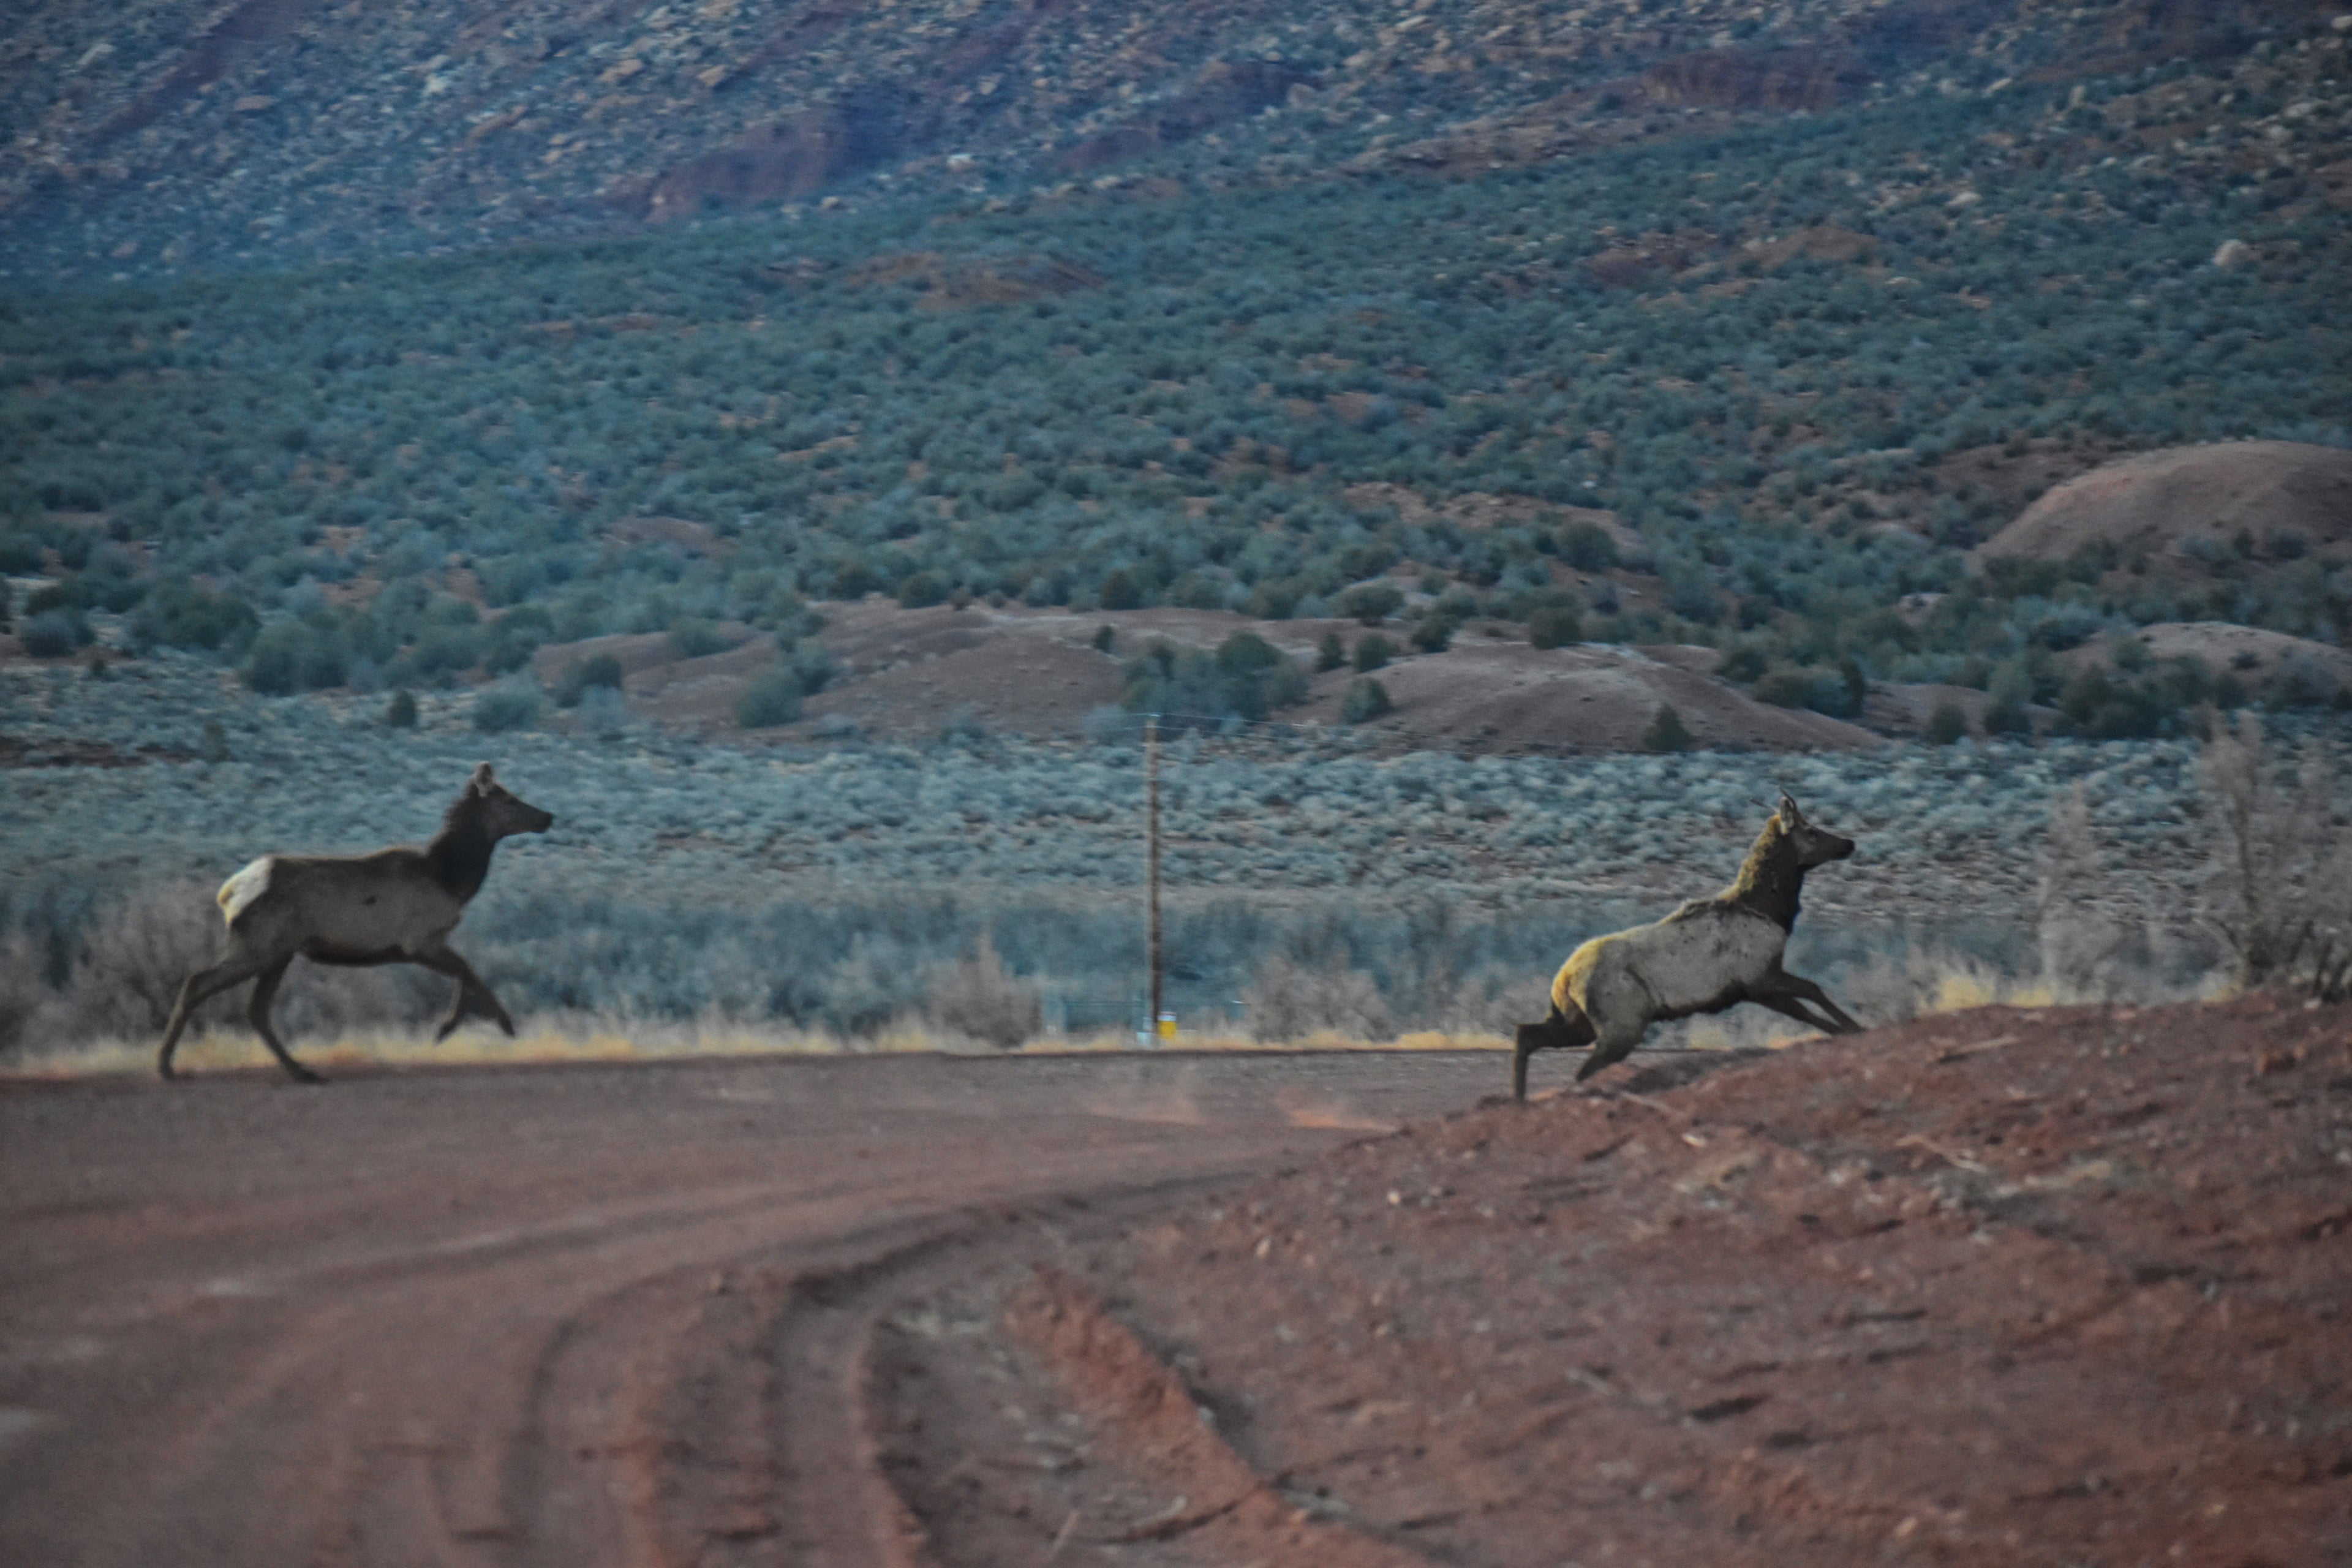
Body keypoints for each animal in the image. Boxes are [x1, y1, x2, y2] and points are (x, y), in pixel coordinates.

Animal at [160, 766, 555, 1086]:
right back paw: (166, 1067)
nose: (548, 816)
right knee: (197, 983)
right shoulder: (418, 941)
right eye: (508, 799)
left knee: (256, 1011)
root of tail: (230, 892)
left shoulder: (423, 945)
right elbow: (466, 970)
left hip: (278, 954)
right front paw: (484, 1025)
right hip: (259, 947)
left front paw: (461, 1026)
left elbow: (465, 971)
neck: (451, 879)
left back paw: (303, 1072)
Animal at [1514, 790, 1863, 1100]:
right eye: (1811, 832)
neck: (1772, 914)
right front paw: (1854, 1028)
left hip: (1576, 1020)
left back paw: (1520, 1099)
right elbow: (1811, 993)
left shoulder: (1756, 987)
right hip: (1622, 1024)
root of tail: (1564, 978)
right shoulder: (1758, 978)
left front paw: (1848, 1028)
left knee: (1527, 1034)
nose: (1849, 843)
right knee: (1583, 1070)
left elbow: (1808, 1003)